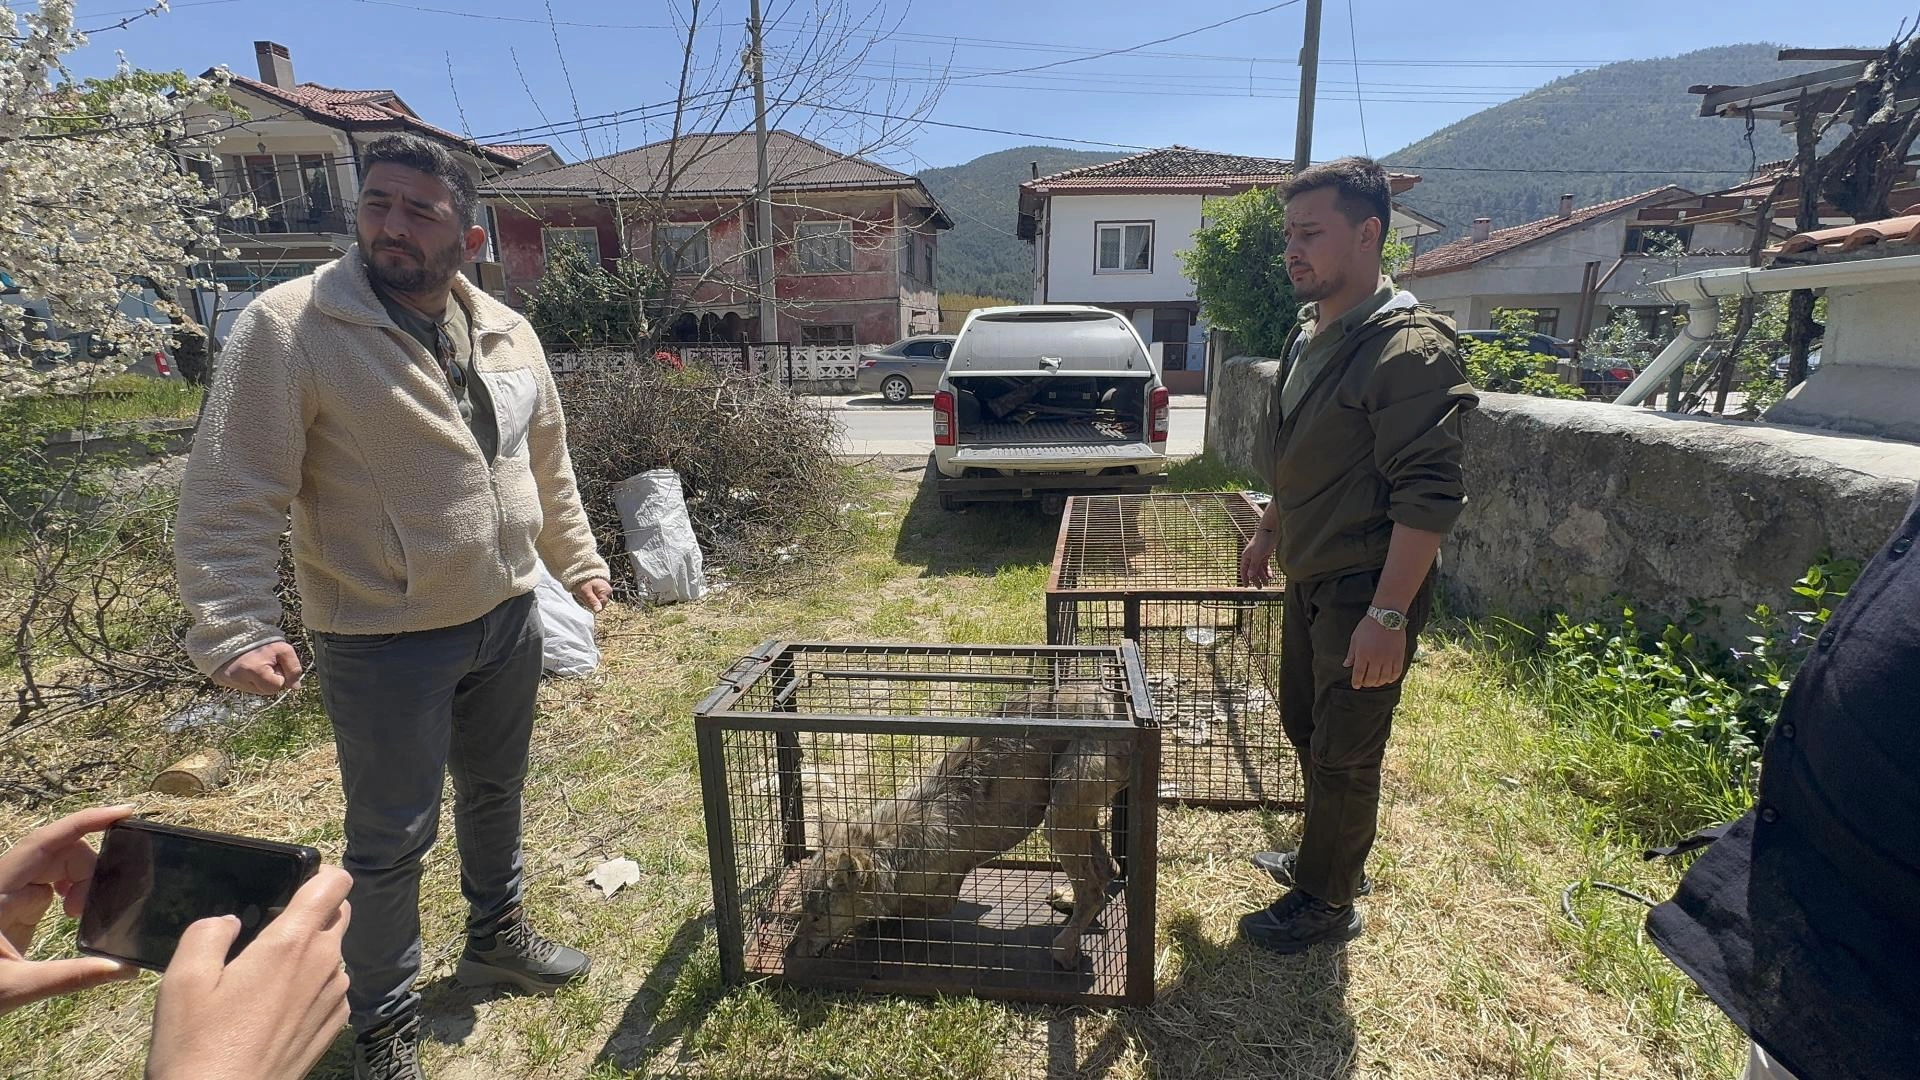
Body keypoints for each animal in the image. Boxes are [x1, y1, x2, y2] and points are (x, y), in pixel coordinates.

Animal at [788, 684, 1131, 968]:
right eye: (808, 913)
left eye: (818, 919)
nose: (792, 952)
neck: (892, 849)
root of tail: (1111, 702)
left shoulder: (943, 898)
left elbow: (890, 908)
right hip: (1072, 817)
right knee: (1107, 871)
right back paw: (1068, 901)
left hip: (1057, 821)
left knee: (1094, 890)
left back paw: (1065, 950)